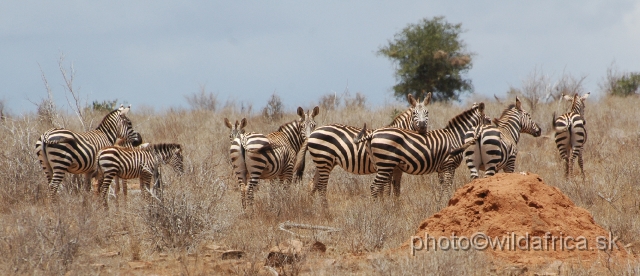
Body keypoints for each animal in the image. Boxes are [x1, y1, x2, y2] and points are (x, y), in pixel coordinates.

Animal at [356, 101, 484, 201]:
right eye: (487, 120)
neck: (455, 136)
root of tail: (373, 133)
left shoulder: (442, 168)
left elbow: (442, 187)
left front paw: (440, 202)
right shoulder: (449, 165)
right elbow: (447, 187)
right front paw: (448, 201)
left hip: (380, 164)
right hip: (385, 164)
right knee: (375, 187)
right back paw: (377, 209)